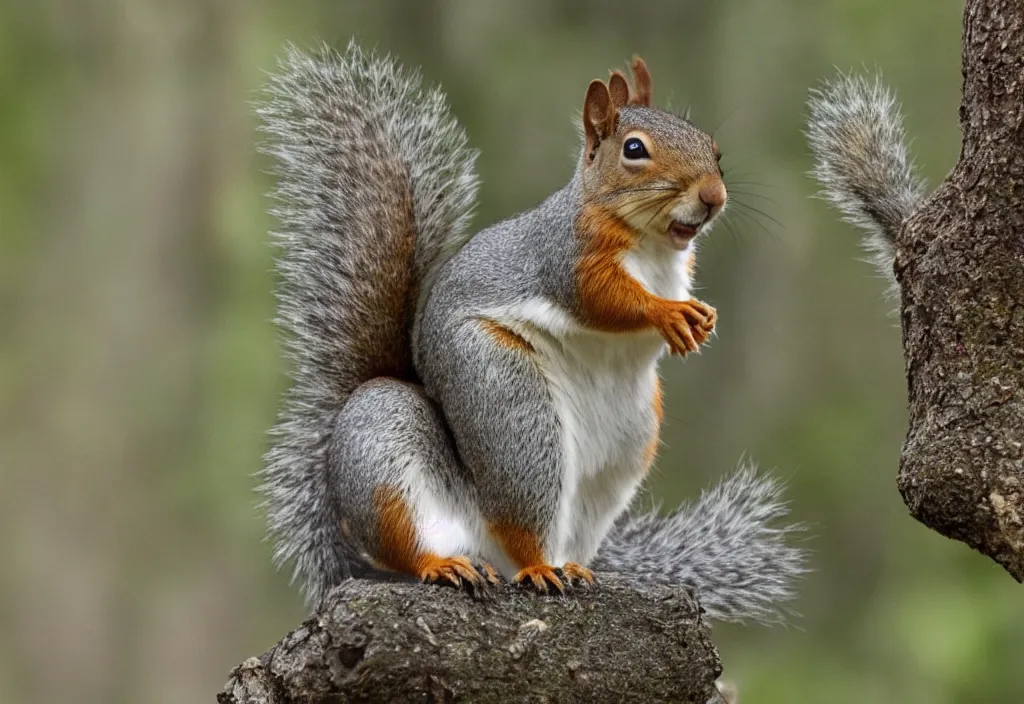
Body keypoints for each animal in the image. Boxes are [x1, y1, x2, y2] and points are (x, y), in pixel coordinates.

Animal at [258, 41, 806, 626]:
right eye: (634, 150)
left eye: (714, 148)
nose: (713, 196)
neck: (654, 244)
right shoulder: (568, 258)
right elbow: (603, 299)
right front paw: (667, 313)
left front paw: (699, 316)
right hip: (506, 409)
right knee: (466, 529)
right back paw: (475, 565)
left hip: (625, 448)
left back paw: (568, 567)